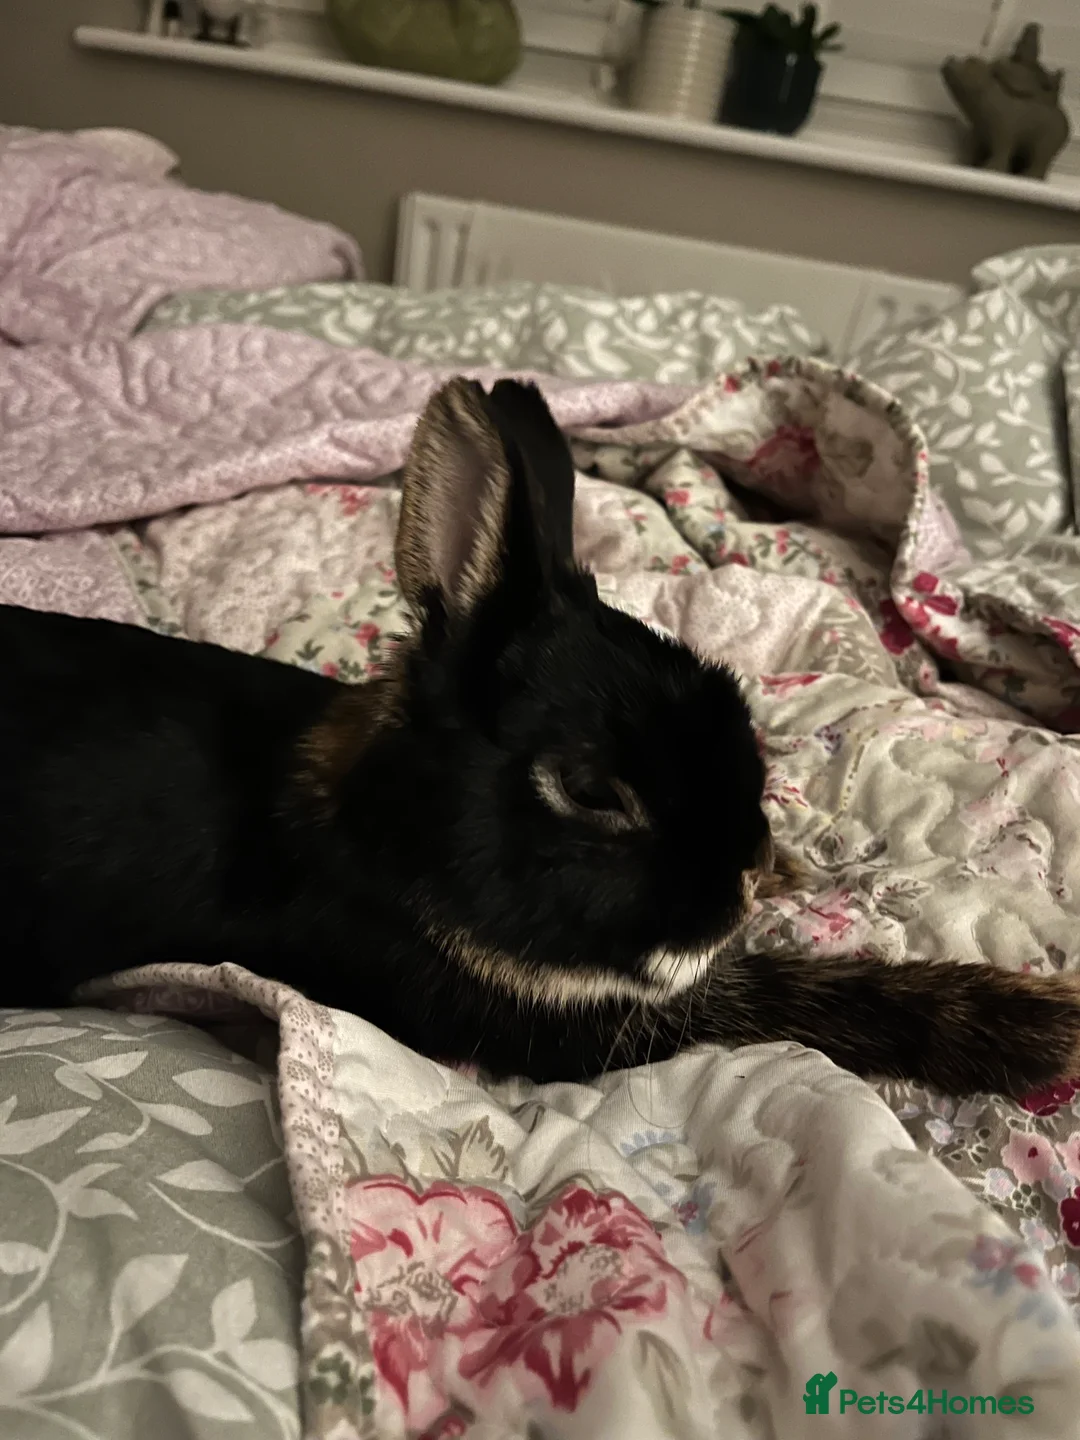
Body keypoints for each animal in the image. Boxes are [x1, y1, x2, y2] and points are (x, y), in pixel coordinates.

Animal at [4, 375, 1080, 1099]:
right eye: (594, 792)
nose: (740, 884)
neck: (374, 824)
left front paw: (801, 868)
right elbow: (781, 998)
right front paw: (1040, 1026)